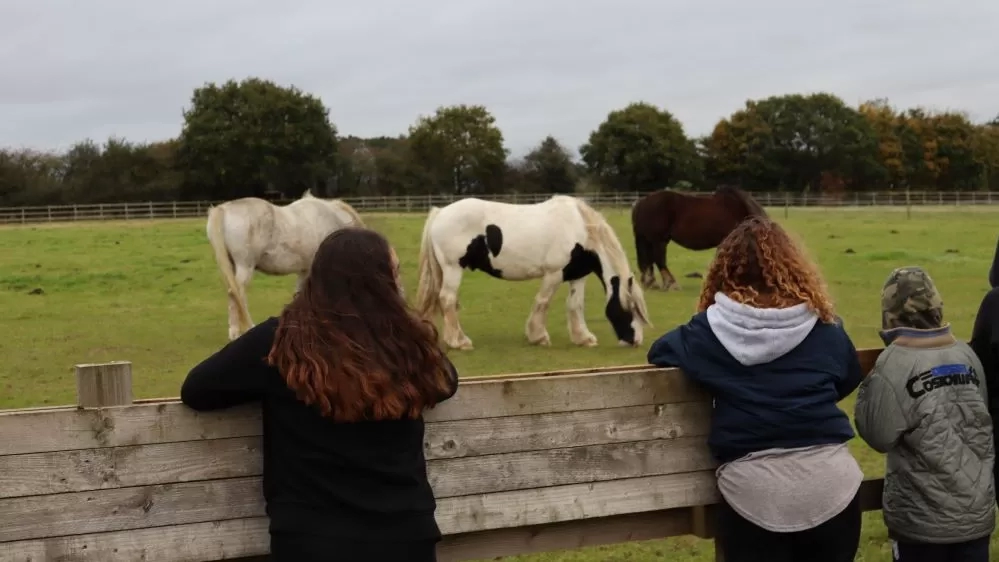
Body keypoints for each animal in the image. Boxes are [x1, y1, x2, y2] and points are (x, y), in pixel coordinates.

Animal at [207, 188, 368, 340]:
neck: (331, 219)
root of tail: (224, 209)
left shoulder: (304, 270)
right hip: (245, 266)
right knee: (237, 293)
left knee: (233, 292)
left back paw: (234, 332)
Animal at [632, 186, 764, 290]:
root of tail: (642, 202)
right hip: (659, 240)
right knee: (659, 260)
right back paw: (671, 284)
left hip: (650, 240)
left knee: (650, 260)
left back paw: (652, 283)